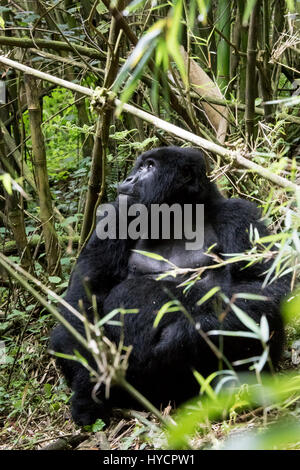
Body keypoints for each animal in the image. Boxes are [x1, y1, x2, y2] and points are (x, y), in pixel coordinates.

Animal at [51, 147, 290, 426]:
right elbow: (83, 298)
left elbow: (267, 286)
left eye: (150, 167)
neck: (179, 215)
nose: (129, 179)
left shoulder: (238, 215)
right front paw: (87, 390)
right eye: (139, 166)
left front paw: (181, 338)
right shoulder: (117, 217)